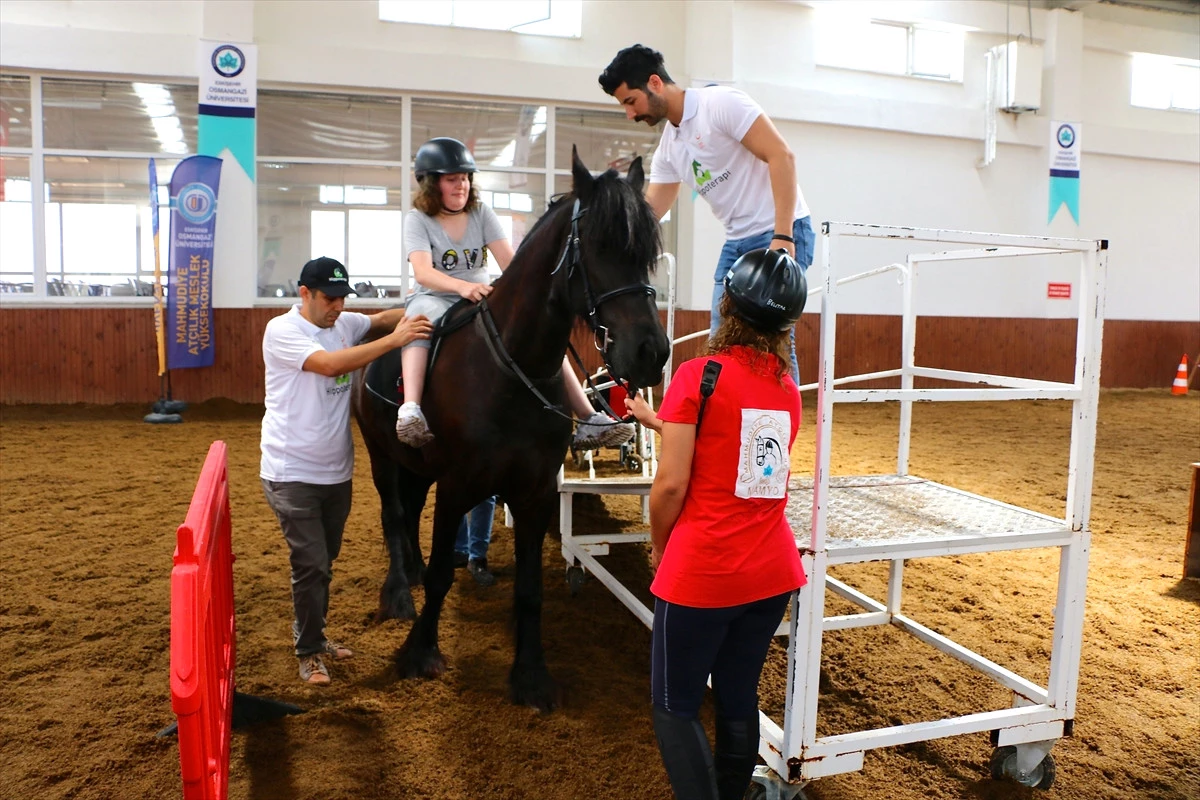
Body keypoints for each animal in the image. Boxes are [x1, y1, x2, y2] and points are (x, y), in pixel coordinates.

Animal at [350, 146, 672, 710]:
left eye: (647, 251)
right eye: (598, 245)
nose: (650, 353)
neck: (508, 369)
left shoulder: (534, 491)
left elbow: (529, 589)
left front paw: (531, 675)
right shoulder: (458, 486)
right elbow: (442, 575)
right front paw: (420, 653)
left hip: (417, 468)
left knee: (407, 515)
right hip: (382, 456)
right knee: (394, 516)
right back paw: (399, 593)